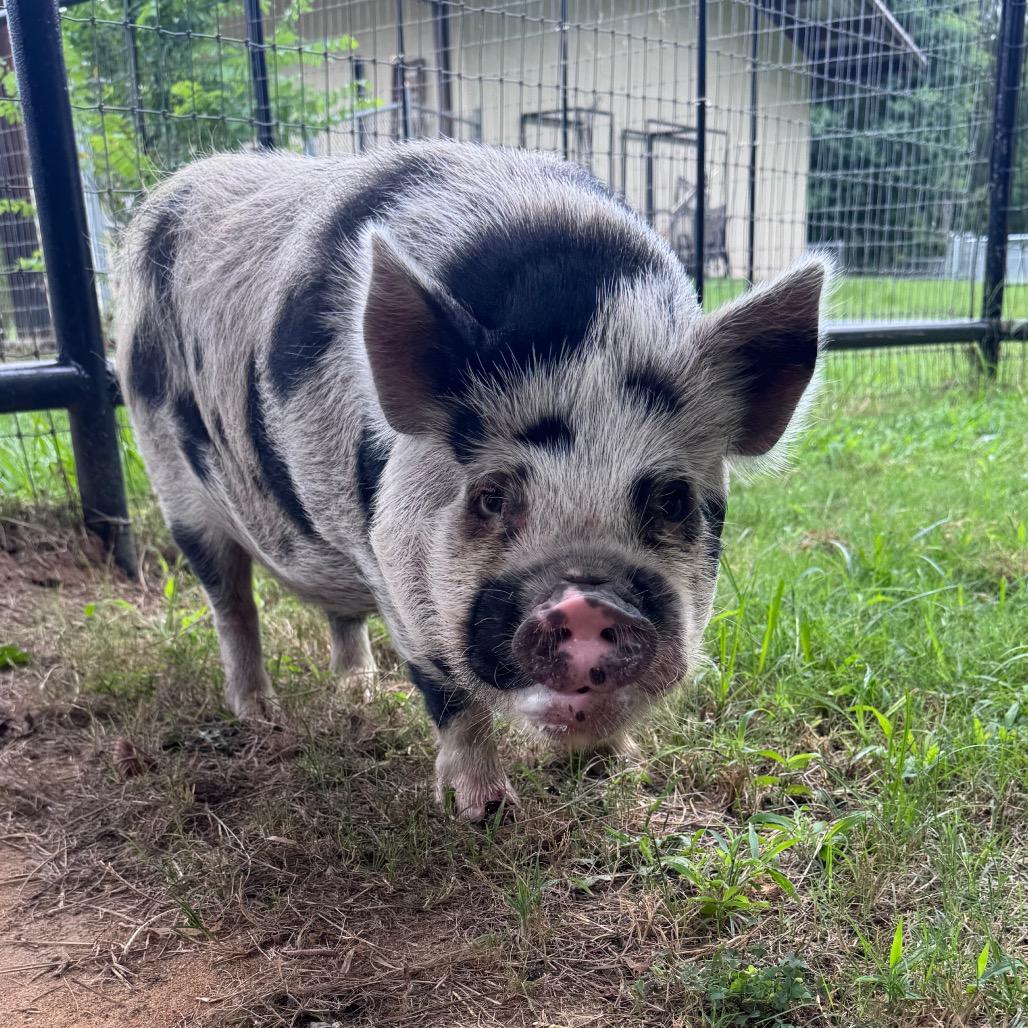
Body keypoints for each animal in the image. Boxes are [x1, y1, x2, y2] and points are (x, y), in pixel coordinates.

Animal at [115, 141, 829, 820]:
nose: (586, 602)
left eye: (673, 500)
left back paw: (358, 691)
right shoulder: (392, 568)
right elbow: (450, 693)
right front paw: (483, 811)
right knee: (230, 601)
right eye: (491, 495)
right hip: (170, 475)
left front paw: (624, 768)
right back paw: (260, 714)